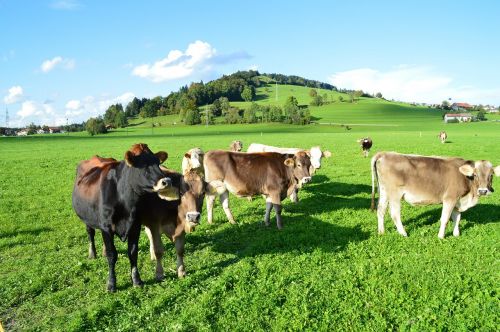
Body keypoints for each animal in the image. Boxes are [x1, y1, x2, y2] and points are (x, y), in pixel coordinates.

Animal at [71, 144, 171, 292]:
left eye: (158, 162)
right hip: (87, 218)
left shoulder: (135, 226)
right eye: (143, 164)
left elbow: (133, 253)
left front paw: (137, 280)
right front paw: (111, 283)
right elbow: (112, 255)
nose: (166, 181)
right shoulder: (106, 228)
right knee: (90, 233)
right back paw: (92, 254)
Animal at [372, 150, 500, 239]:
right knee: (394, 214)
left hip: (384, 192)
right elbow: (445, 219)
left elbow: (457, 218)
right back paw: (403, 233)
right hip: (395, 194)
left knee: (381, 210)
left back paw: (381, 232)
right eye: (475, 174)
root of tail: (385, 153)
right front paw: (441, 236)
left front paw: (456, 234)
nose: (483, 191)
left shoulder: (457, 200)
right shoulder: (450, 198)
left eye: (491, 175)